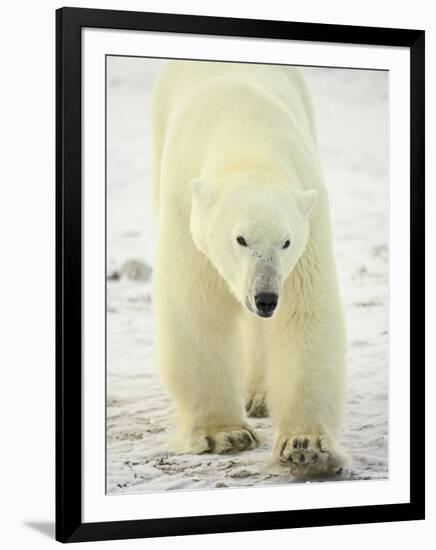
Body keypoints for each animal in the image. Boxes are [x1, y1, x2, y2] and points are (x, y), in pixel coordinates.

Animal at [149, 61, 348, 478]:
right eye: (240, 239)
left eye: (286, 241)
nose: (266, 297)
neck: (246, 138)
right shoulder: (186, 214)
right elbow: (196, 308)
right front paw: (224, 434)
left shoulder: (308, 225)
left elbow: (305, 312)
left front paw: (305, 447)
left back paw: (259, 396)